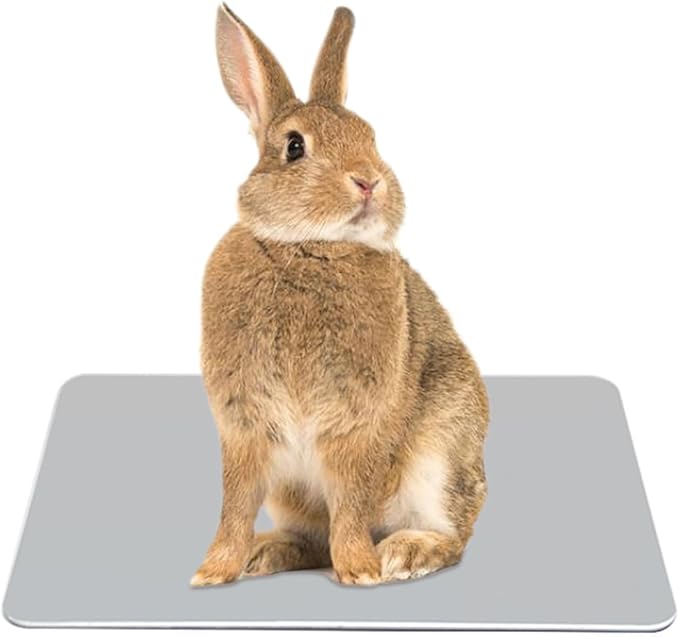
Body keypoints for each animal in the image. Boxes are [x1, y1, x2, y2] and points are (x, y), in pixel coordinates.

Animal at [191, 3, 489, 587]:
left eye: (370, 137)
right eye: (294, 146)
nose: (369, 180)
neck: (309, 248)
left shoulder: (358, 423)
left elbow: (351, 503)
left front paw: (362, 571)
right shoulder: (244, 424)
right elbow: (234, 505)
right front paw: (214, 571)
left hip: (442, 453)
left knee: (452, 536)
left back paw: (404, 553)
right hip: (291, 493)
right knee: (311, 540)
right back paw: (266, 551)